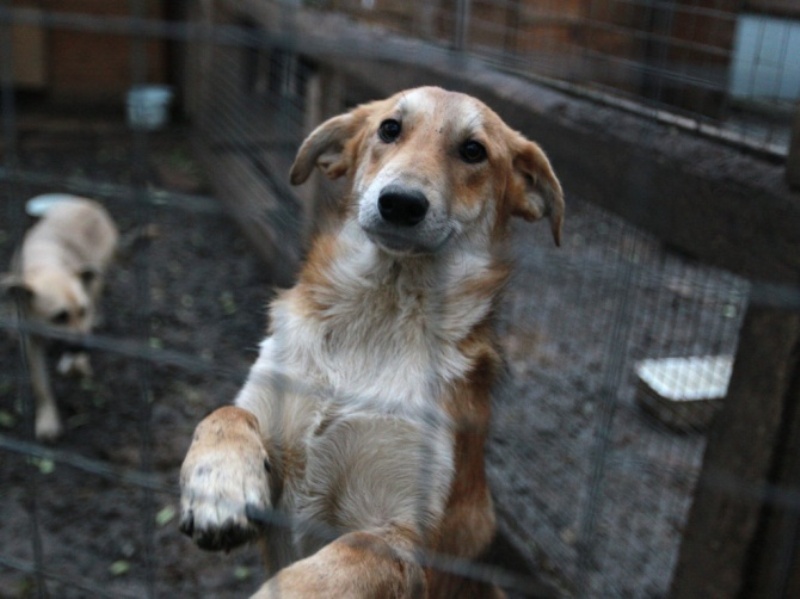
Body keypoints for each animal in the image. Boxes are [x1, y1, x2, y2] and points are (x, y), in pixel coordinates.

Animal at [179, 86, 564, 596]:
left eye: (473, 151)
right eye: (389, 128)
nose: (400, 202)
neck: (378, 318)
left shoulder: (404, 539)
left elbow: (342, 559)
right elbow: (226, 413)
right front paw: (219, 486)